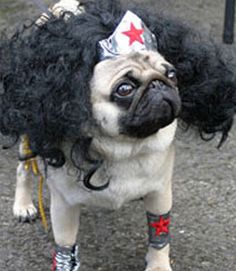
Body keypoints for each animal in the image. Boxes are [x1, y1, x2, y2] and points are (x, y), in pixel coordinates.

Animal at [0, 0, 235, 271]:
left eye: (172, 74)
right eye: (124, 89)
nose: (158, 85)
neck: (125, 147)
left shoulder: (161, 193)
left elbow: (160, 235)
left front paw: (158, 265)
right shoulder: (64, 206)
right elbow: (65, 248)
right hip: (28, 141)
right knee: (24, 170)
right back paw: (23, 205)